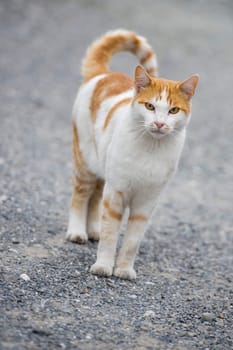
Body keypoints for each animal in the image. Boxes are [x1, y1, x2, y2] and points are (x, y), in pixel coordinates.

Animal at [66, 30, 198, 280]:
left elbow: (131, 242)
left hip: (102, 170)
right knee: (81, 196)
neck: (151, 149)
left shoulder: (146, 203)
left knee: (95, 197)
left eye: (173, 110)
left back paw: (93, 230)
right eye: (150, 106)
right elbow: (110, 237)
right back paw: (77, 232)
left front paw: (124, 269)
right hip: (85, 164)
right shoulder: (116, 193)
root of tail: (103, 73)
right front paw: (103, 266)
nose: (159, 123)